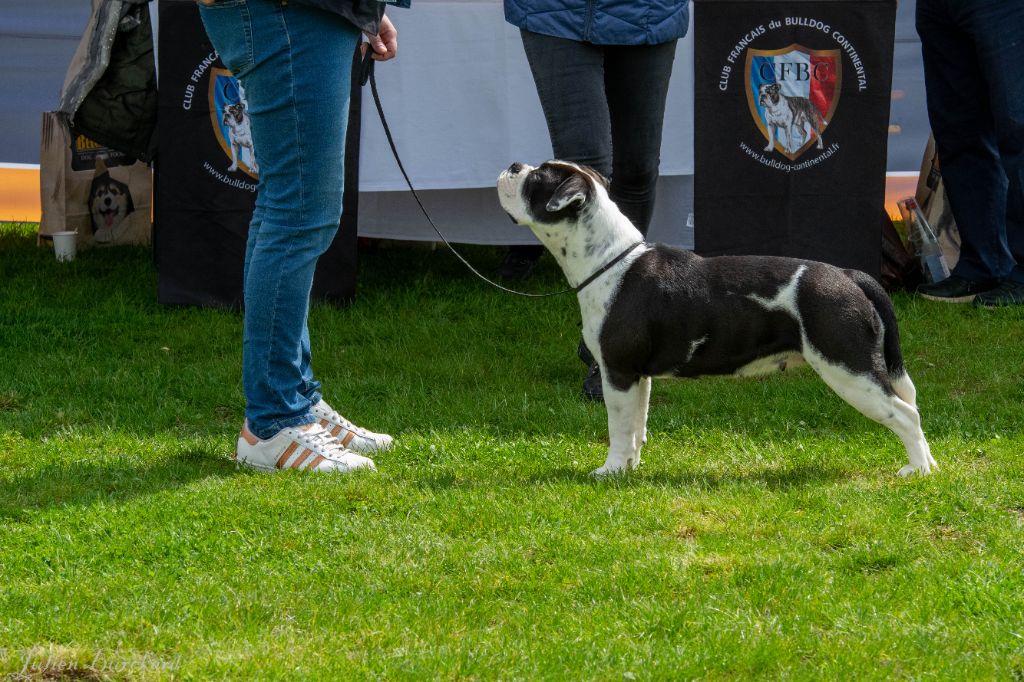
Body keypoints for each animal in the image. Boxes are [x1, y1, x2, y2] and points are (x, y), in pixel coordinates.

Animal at [495, 160, 937, 477]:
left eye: (537, 177)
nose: (513, 165)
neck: (608, 259)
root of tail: (848, 275)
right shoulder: (638, 376)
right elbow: (637, 424)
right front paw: (630, 469)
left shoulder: (617, 371)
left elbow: (618, 427)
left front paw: (610, 470)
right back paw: (929, 465)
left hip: (849, 369)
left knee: (906, 414)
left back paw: (916, 471)